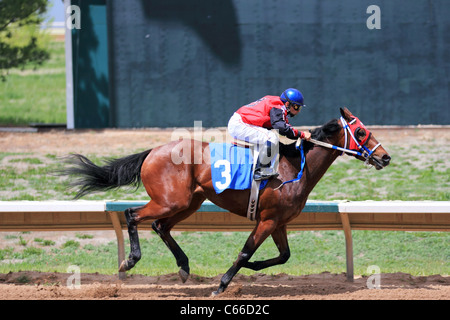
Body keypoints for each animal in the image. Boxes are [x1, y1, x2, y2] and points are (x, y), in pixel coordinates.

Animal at [64, 107, 390, 296]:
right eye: (361, 131)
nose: (385, 157)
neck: (295, 166)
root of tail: (153, 151)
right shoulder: (267, 220)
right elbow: (245, 251)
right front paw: (222, 285)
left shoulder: (278, 221)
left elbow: (283, 256)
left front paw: (255, 267)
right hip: (171, 201)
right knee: (133, 214)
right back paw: (130, 260)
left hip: (189, 202)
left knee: (160, 226)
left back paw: (184, 267)